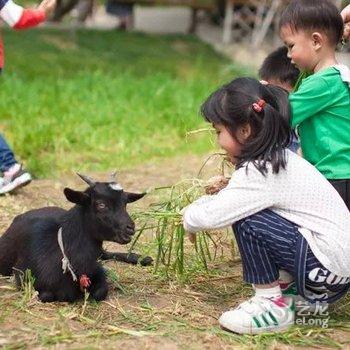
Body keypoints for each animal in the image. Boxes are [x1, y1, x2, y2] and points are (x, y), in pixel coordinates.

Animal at [0, 174, 152, 302]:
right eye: (101, 204)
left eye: (125, 203)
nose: (130, 228)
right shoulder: (22, 275)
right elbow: (46, 295)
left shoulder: (97, 269)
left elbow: (100, 292)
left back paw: (143, 258)